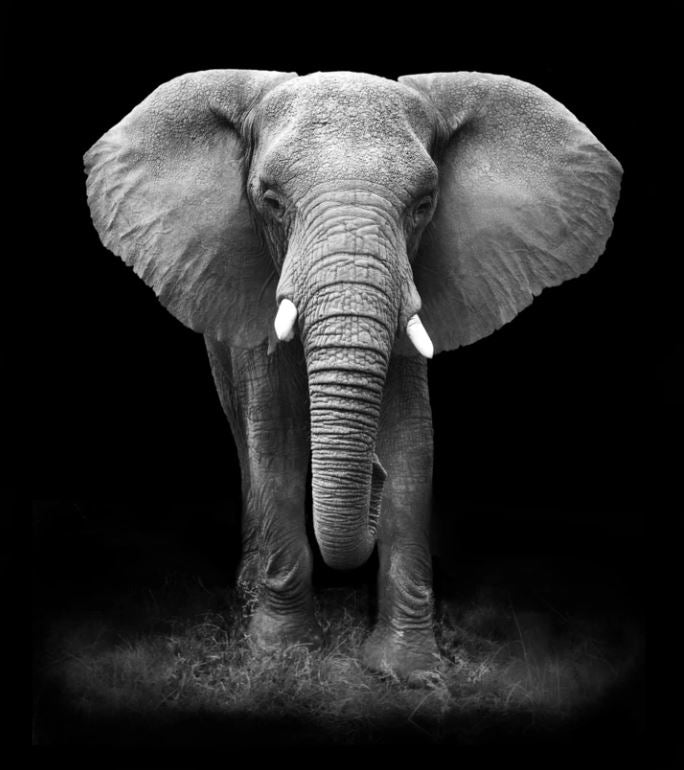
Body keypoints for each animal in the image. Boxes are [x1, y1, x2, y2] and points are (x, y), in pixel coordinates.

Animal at [84, 69, 621, 680]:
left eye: (424, 205)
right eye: (271, 202)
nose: (372, 475)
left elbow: (413, 444)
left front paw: (408, 671)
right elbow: (276, 441)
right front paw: (282, 655)